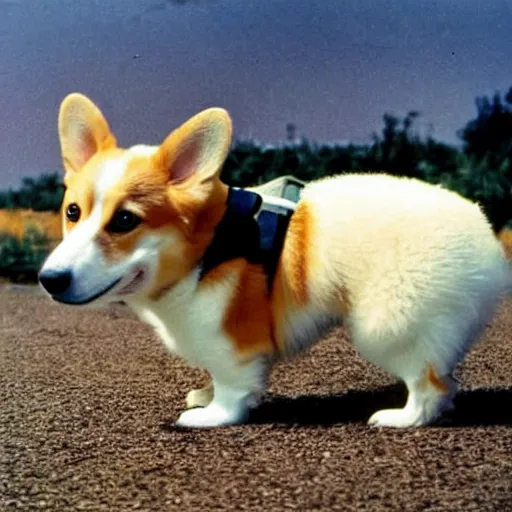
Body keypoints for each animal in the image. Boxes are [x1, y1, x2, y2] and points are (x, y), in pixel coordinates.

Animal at [39, 93, 512, 428]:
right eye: (72, 212)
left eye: (125, 221)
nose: (50, 280)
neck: (209, 247)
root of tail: (486, 240)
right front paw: (203, 396)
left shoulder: (231, 343)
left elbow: (232, 390)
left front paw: (210, 415)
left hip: (387, 326)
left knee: (429, 384)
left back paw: (400, 418)